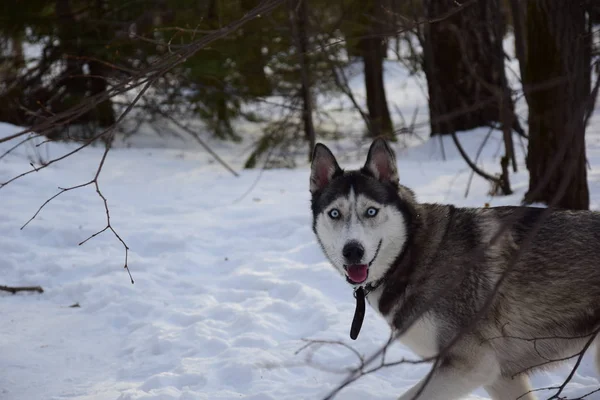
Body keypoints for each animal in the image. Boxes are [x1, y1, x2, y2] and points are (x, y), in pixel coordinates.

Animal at [312, 138, 600, 400]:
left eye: (371, 211)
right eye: (335, 213)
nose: (352, 251)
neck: (413, 254)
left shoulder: (472, 364)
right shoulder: (501, 376)